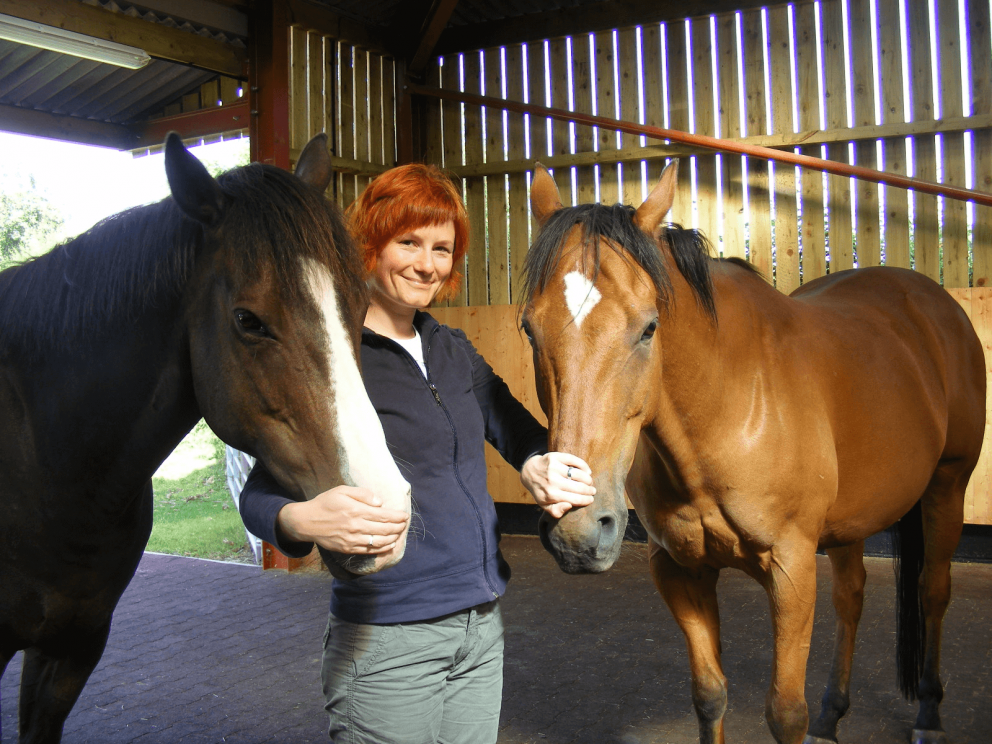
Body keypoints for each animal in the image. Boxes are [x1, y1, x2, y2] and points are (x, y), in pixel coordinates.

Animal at [519, 161, 986, 744]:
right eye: (529, 329)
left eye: (649, 327)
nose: (577, 531)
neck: (725, 411)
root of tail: (931, 301)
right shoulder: (680, 571)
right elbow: (709, 694)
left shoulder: (791, 570)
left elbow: (785, 712)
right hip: (851, 521)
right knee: (851, 597)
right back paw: (832, 714)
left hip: (948, 486)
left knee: (932, 591)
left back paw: (928, 713)